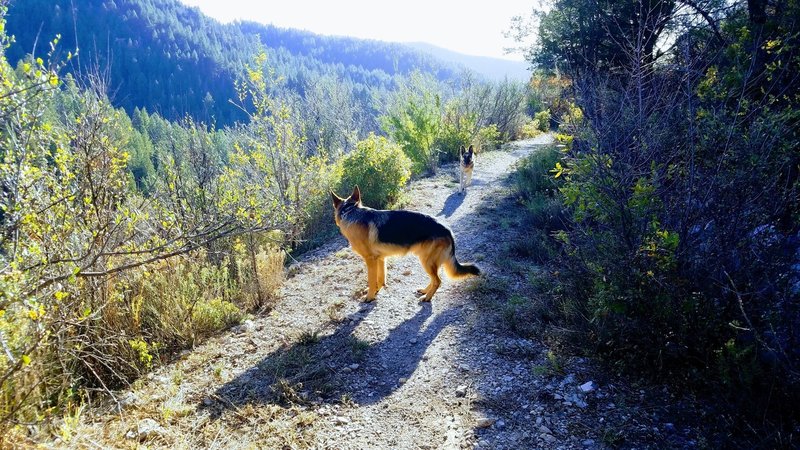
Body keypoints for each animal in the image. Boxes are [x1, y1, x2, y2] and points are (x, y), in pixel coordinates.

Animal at [332, 186, 482, 302]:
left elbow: (371, 279)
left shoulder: (370, 260)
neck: (350, 212)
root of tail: (447, 230)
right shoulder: (380, 259)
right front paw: (377, 290)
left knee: (438, 281)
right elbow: (380, 278)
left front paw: (369, 297)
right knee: (435, 279)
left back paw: (427, 298)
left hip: (426, 261)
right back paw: (425, 291)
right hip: (429, 261)